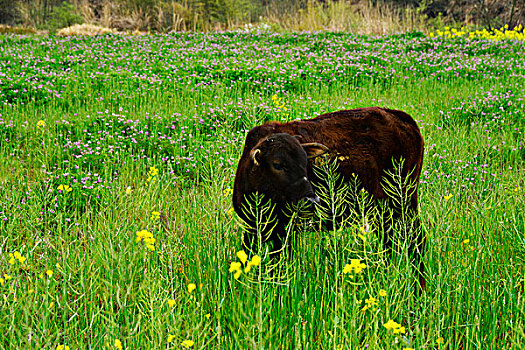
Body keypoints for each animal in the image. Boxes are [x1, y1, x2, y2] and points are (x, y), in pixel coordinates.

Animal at [233, 106, 426, 290]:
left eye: (305, 162)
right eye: (277, 164)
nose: (311, 200)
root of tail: (399, 117)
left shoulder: (287, 231)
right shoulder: (252, 228)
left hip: (404, 202)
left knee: (416, 241)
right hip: (383, 212)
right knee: (390, 243)